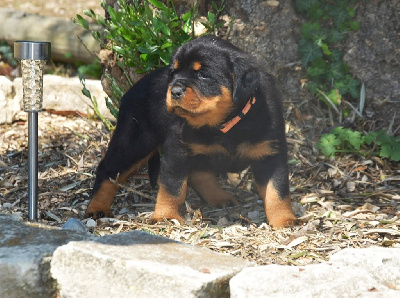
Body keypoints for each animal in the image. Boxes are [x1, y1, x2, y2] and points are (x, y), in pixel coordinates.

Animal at [86, 36, 298, 229]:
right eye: (173, 72)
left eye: (203, 74)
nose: (174, 90)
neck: (224, 124)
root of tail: (132, 89)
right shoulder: (177, 150)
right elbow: (172, 188)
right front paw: (165, 216)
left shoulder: (271, 153)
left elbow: (277, 191)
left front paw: (285, 220)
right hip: (136, 140)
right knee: (107, 169)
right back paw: (97, 208)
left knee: (199, 173)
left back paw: (219, 196)